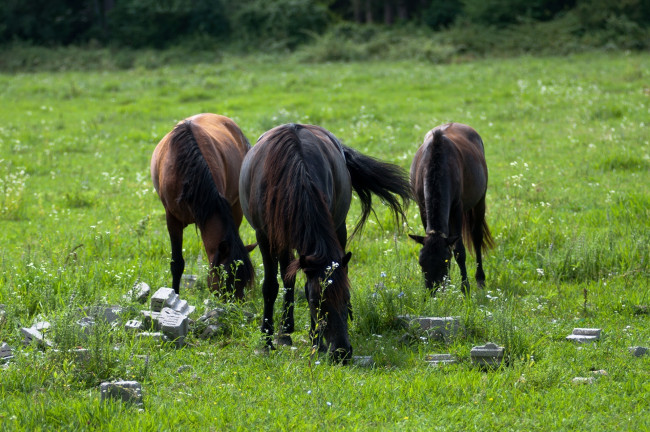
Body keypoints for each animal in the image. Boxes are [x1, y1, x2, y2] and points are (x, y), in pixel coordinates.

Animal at [238, 123, 410, 362]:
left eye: (346, 298)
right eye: (314, 302)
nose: (342, 352)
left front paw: (316, 342)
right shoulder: (264, 236)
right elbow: (271, 286)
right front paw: (266, 341)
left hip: (337, 227)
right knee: (286, 277)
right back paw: (284, 333)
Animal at [408, 123, 494, 296]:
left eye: (444, 263)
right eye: (421, 263)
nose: (432, 293)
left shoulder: (456, 209)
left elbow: (459, 251)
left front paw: (465, 287)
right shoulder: (422, 207)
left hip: (479, 201)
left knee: (477, 237)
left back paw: (480, 279)